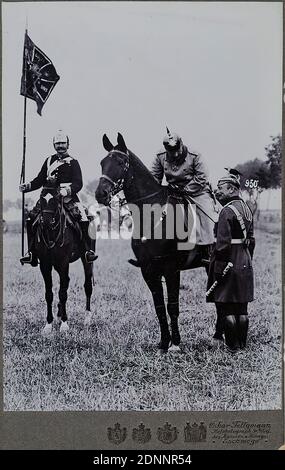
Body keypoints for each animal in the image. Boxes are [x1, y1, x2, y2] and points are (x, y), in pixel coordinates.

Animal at [33, 187, 93, 334]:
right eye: (41, 200)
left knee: (87, 285)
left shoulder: (63, 262)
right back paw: (59, 313)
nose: (46, 222)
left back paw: (87, 318)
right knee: (66, 282)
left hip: (87, 259)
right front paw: (48, 324)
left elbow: (62, 293)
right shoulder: (45, 265)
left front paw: (64, 324)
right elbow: (49, 293)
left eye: (55, 200)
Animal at [95, 132, 211, 352]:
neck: (152, 215)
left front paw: (175, 343)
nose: (100, 194)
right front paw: (164, 342)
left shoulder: (172, 269)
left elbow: (172, 306)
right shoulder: (148, 270)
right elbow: (159, 308)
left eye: (121, 162)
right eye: (102, 163)